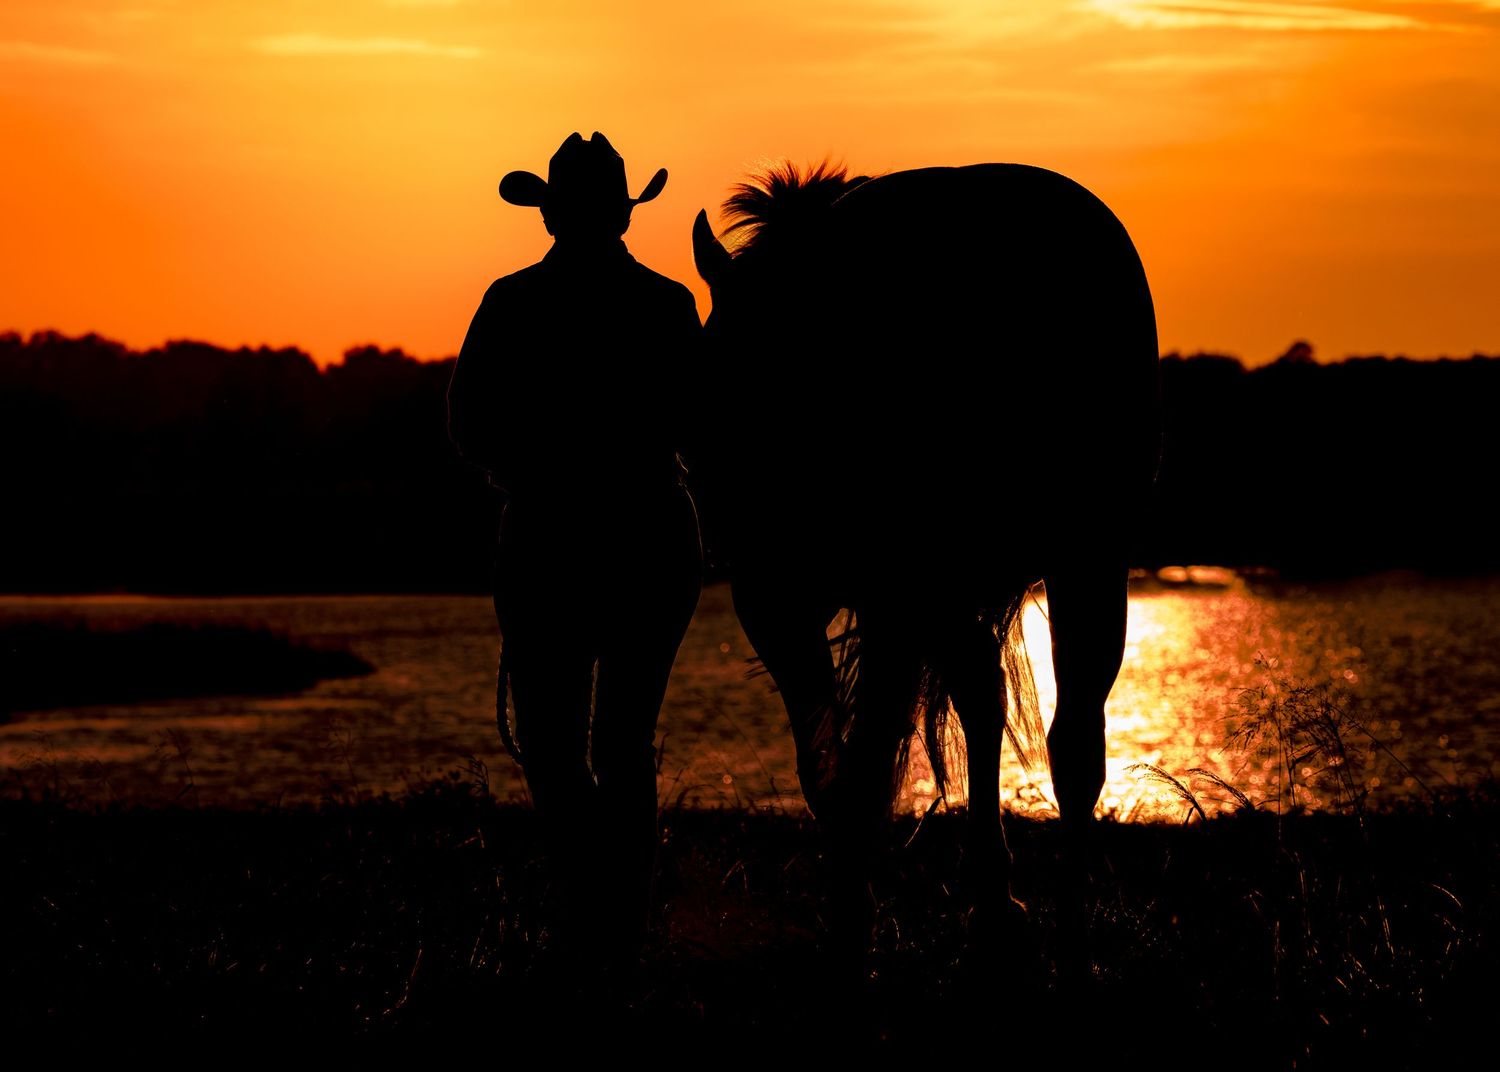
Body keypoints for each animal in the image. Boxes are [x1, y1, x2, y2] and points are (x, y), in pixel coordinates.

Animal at [688, 160, 1160, 945]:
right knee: (985, 698)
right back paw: (995, 894)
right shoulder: (780, 597)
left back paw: (1061, 912)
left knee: (1072, 744)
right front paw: (853, 899)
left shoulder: (890, 594)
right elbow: (827, 755)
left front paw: (855, 912)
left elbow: (864, 750)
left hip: (1080, 565)